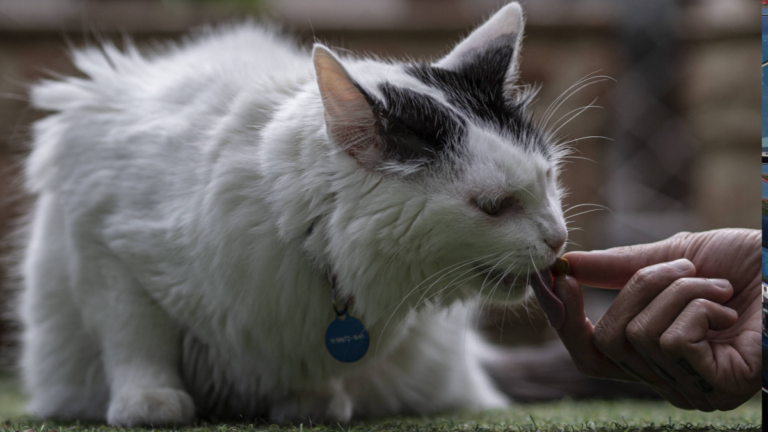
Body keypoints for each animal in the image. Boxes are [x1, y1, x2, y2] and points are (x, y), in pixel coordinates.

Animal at [19, 1, 568, 426]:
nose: (558, 239)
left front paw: (313, 402)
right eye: (492, 206)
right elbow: (136, 338)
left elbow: (312, 368)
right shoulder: (103, 240)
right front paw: (149, 401)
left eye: (547, 179)